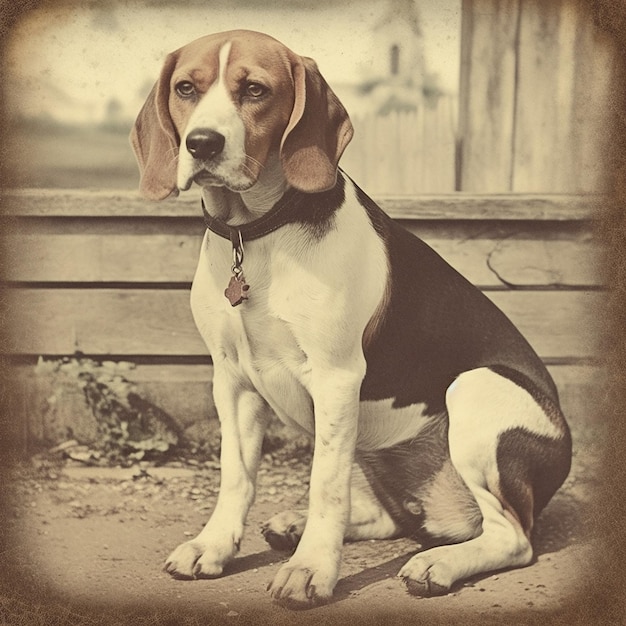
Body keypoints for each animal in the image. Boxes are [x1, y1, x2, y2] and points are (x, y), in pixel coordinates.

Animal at [130, 30, 572, 608]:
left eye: (255, 90)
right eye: (186, 88)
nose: (203, 143)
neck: (258, 233)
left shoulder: (335, 379)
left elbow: (325, 486)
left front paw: (311, 570)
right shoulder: (232, 378)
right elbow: (236, 475)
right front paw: (214, 547)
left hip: (475, 389)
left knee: (513, 539)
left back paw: (438, 564)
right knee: (394, 518)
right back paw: (299, 528)